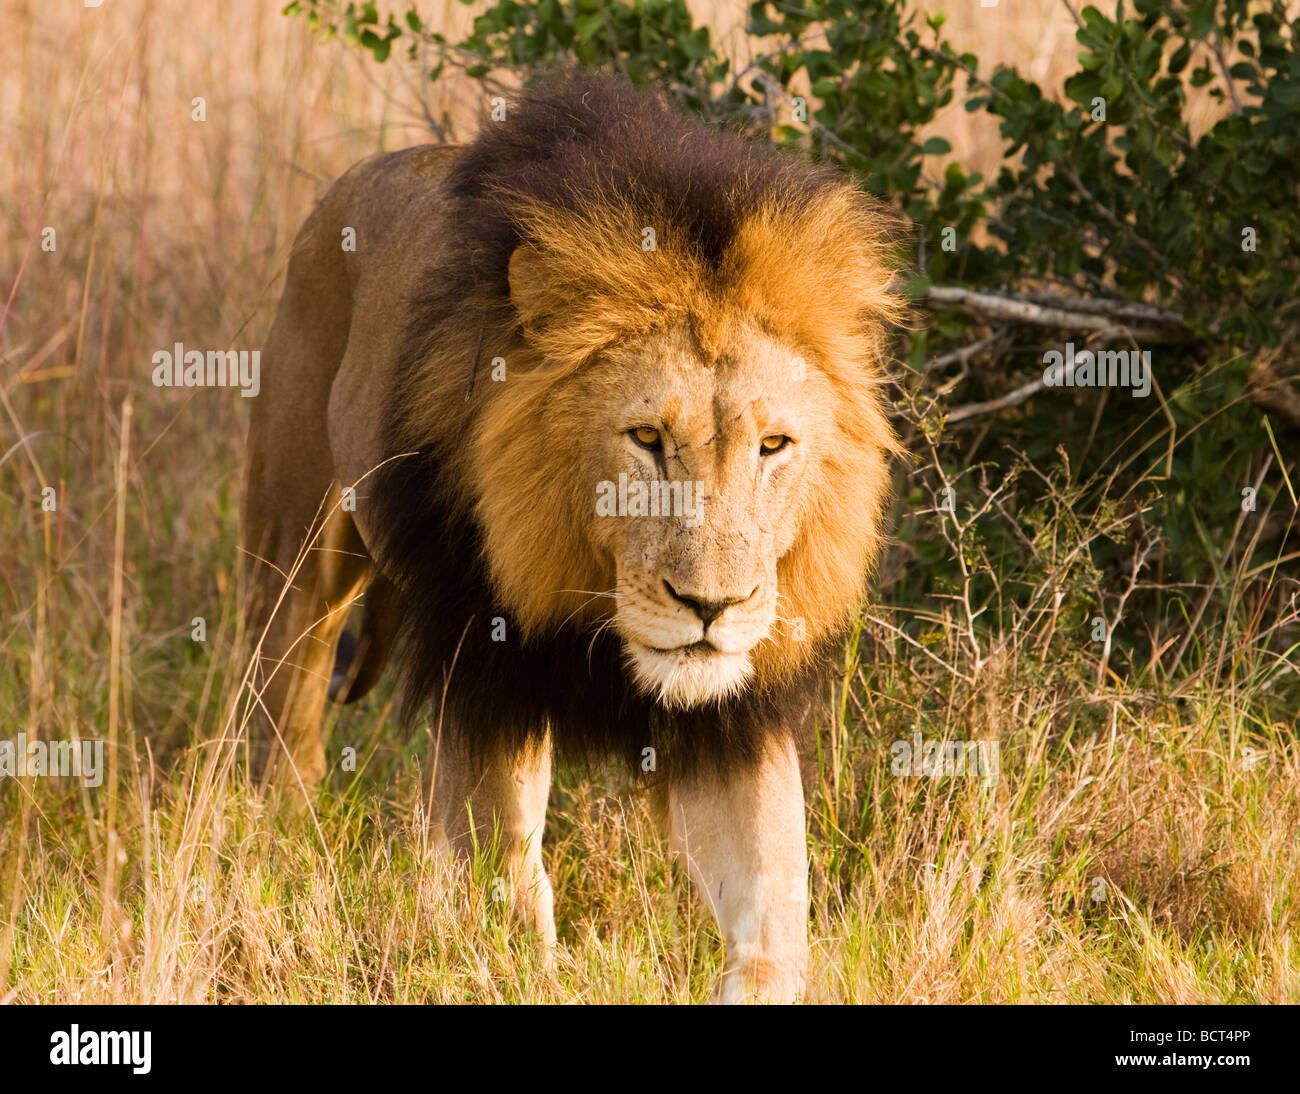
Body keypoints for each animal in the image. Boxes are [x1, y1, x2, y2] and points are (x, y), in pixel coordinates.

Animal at [245, 72, 904, 1003]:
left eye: (774, 446)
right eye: (647, 439)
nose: (712, 606)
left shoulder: (734, 717)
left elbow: (776, 921)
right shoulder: (488, 668)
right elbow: (509, 869)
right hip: (295, 556)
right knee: (286, 728)